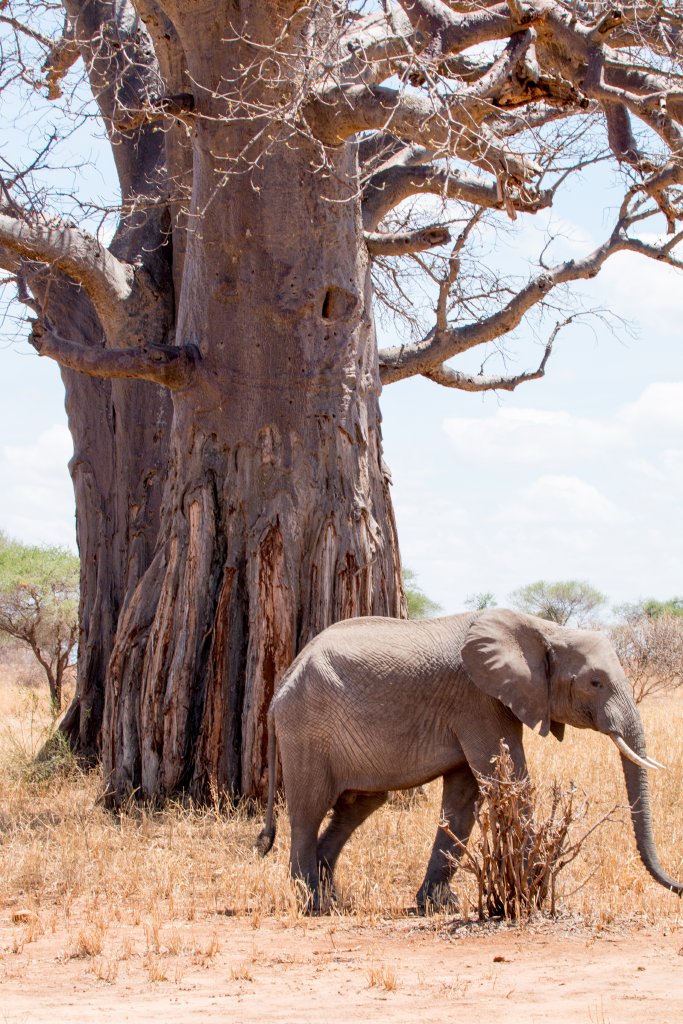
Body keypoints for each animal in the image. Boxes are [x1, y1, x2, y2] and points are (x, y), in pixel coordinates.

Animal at [257, 609, 682, 911]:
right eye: (595, 683)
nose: (678, 887)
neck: (544, 629)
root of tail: (279, 691)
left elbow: (465, 799)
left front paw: (440, 906)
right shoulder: (479, 700)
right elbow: (507, 780)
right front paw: (532, 891)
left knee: (357, 805)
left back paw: (333, 899)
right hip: (306, 730)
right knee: (309, 810)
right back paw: (312, 904)